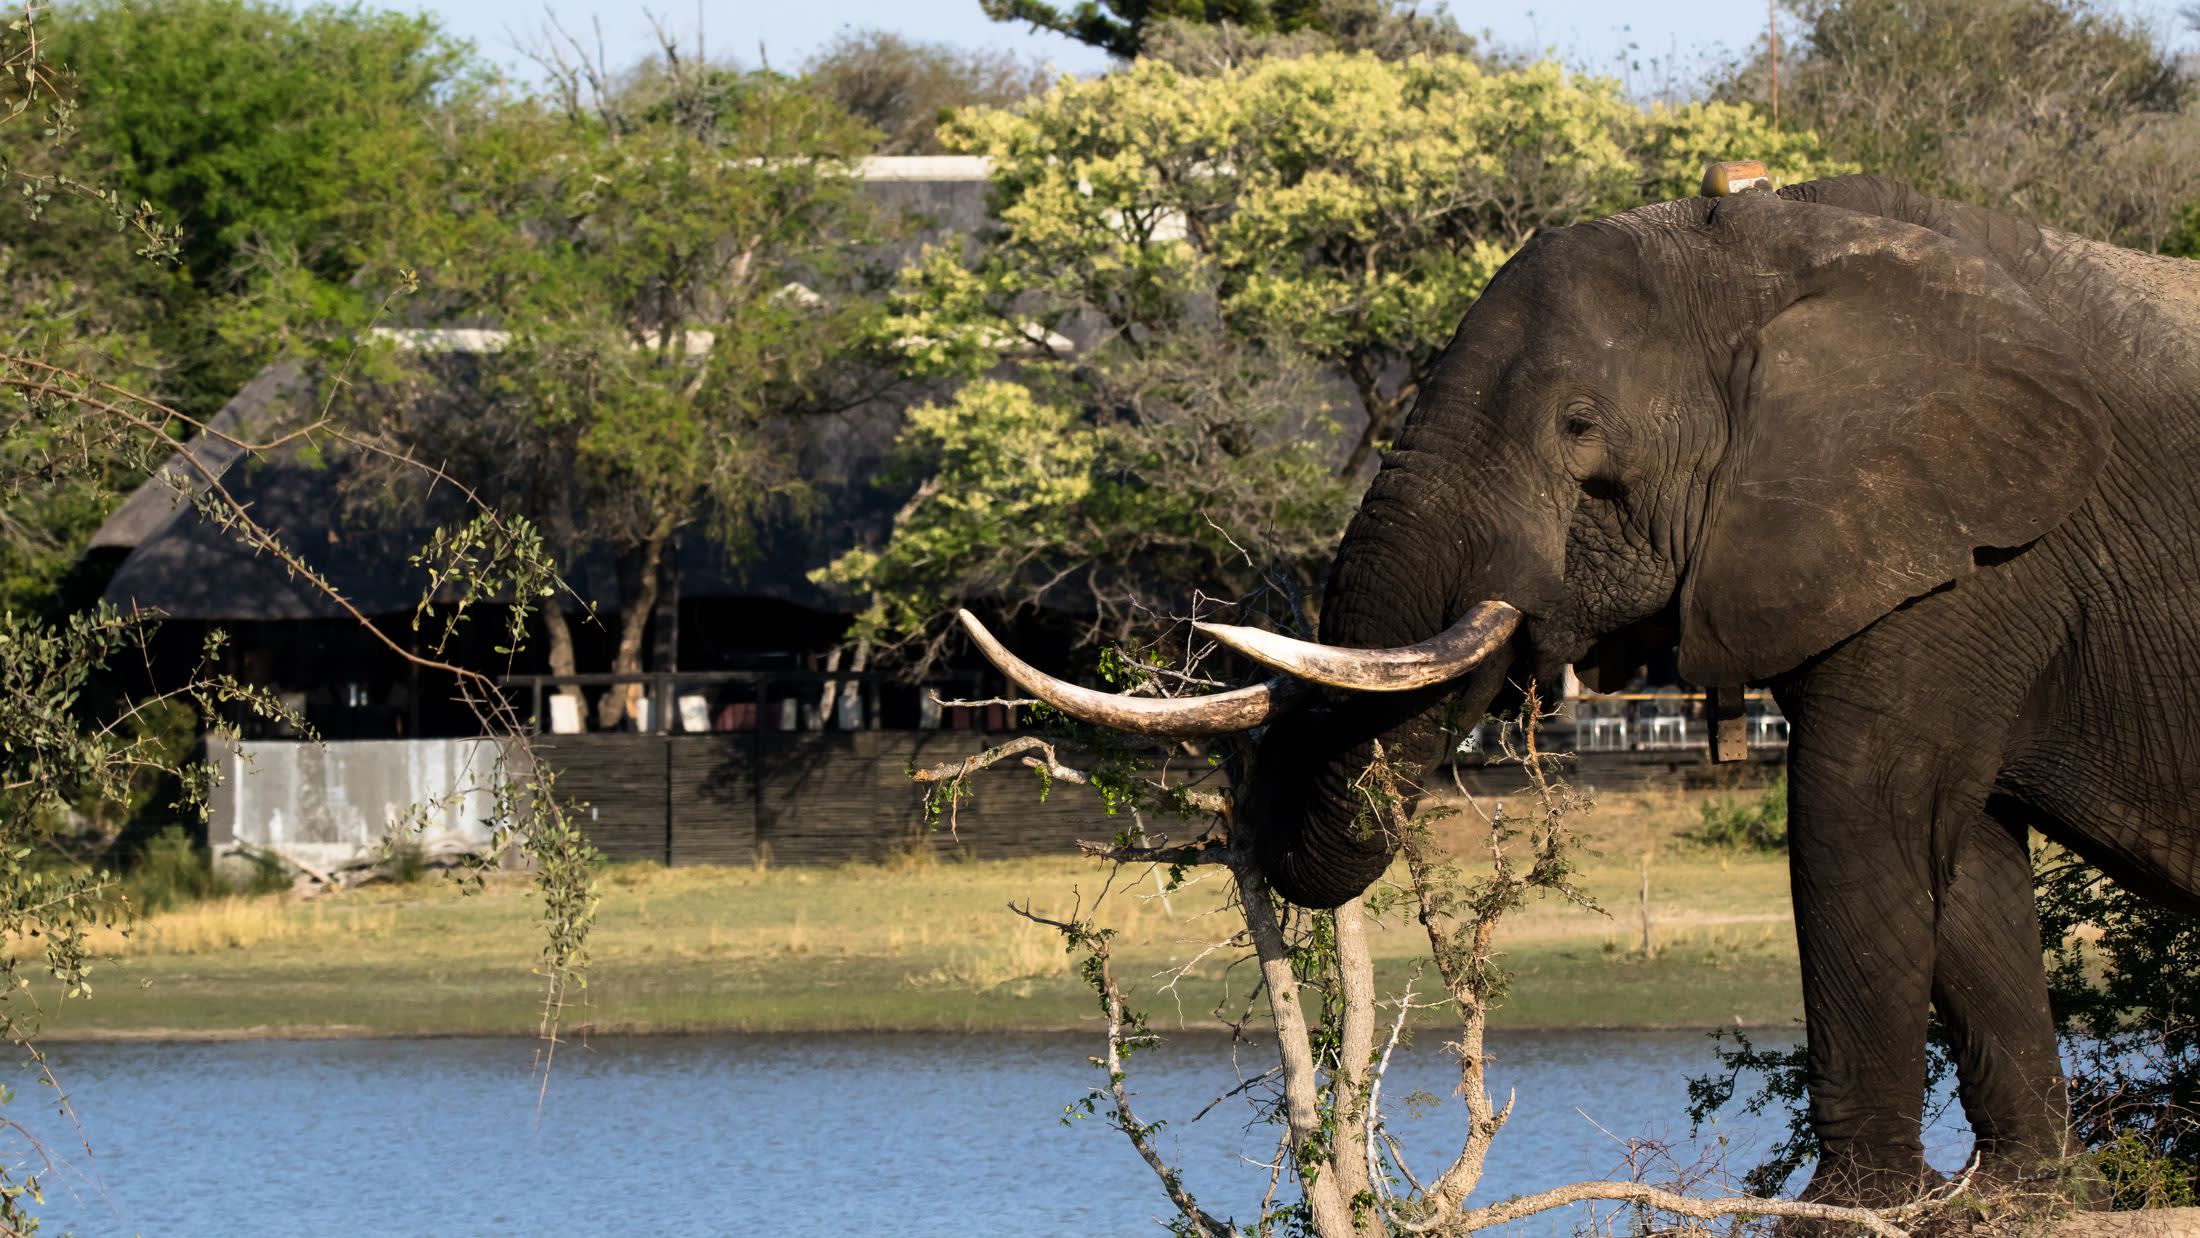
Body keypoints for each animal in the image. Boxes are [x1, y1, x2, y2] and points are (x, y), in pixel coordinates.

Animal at [959, 172, 2200, 1207]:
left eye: (1578, 426)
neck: (1779, 244)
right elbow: (1971, 856)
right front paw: (2016, 1201)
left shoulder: (1980, 553)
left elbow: (1861, 818)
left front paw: (1849, 1208)